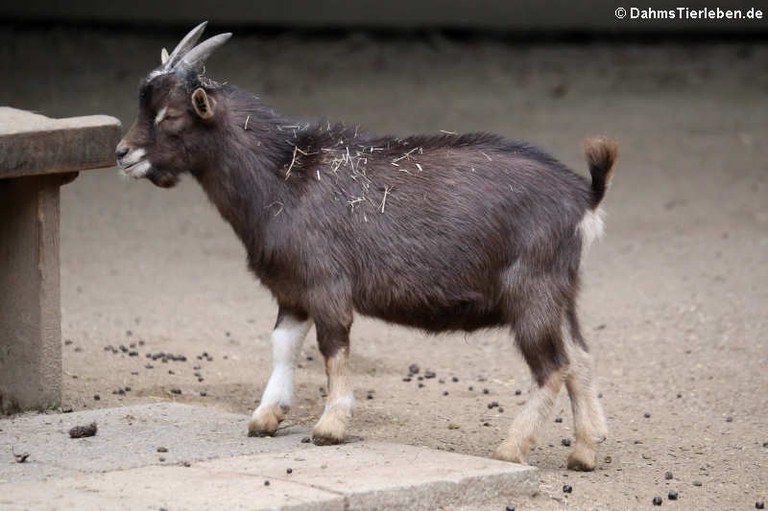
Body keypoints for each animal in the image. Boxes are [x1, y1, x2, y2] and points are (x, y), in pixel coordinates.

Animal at [115, 24, 616, 472]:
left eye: (170, 115)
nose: (122, 154)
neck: (284, 176)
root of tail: (585, 197)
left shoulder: (326, 284)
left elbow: (333, 348)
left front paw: (330, 426)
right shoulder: (290, 290)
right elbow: (282, 345)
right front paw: (266, 417)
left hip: (531, 292)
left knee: (553, 367)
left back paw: (511, 449)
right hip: (561, 294)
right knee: (581, 360)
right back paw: (583, 453)